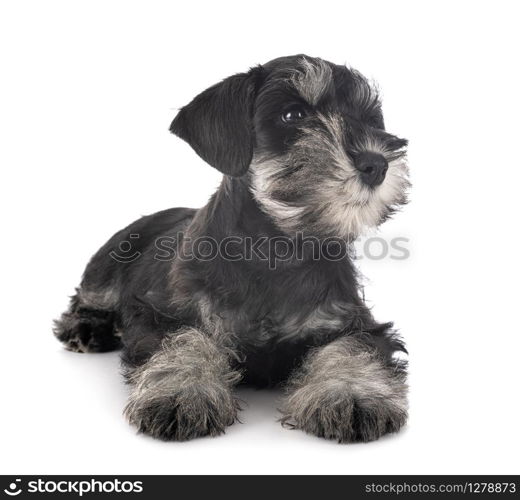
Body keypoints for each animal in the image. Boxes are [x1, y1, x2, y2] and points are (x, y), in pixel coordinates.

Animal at [52, 54, 410, 444]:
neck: (278, 249)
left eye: (370, 120)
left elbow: (350, 349)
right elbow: (185, 341)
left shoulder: (354, 322)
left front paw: (351, 395)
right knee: (87, 298)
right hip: (105, 269)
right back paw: (86, 329)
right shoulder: (164, 315)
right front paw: (183, 393)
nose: (377, 163)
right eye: (293, 115)